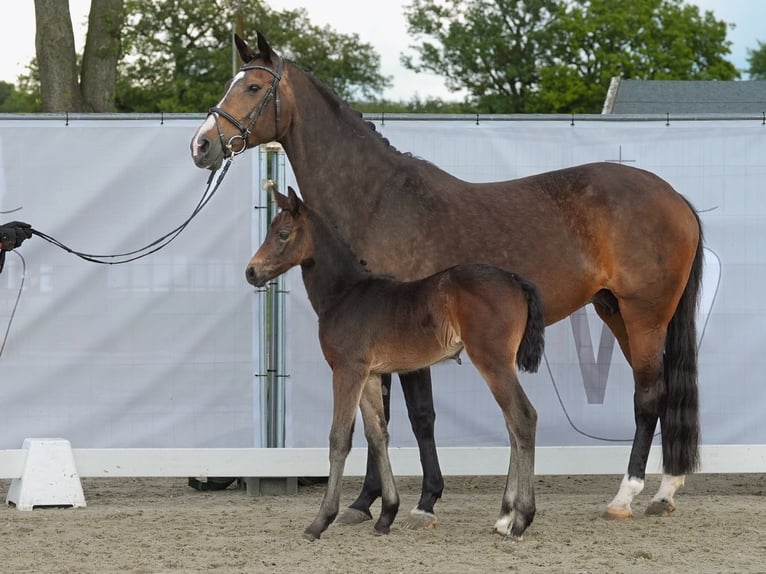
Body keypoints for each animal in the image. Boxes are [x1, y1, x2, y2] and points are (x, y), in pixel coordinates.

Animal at [246, 189, 544, 544]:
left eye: (283, 234)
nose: (251, 272)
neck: (345, 294)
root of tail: (514, 279)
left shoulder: (347, 370)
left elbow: (339, 439)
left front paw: (320, 521)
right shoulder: (371, 374)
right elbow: (378, 434)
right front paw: (386, 514)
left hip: (492, 360)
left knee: (523, 418)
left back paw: (521, 519)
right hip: (500, 364)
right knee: (512, 424)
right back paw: (504, 516)